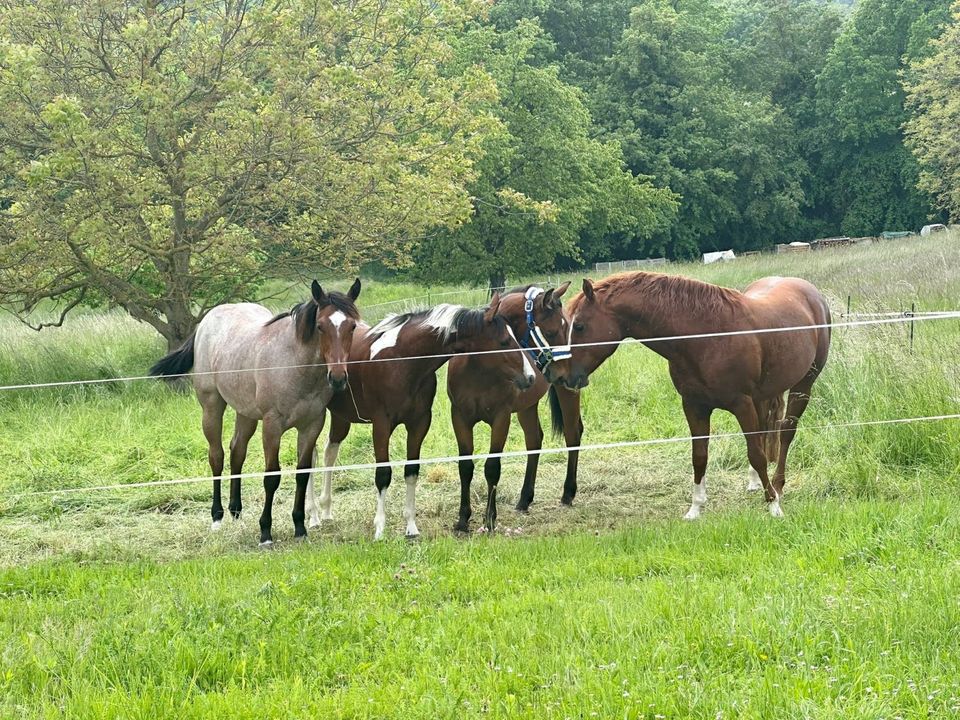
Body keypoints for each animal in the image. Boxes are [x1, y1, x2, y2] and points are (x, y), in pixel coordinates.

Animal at [148, 280, 362, 544]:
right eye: (321, 326)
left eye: (352, 326)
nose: (338, 378)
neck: (294, 363)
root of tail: (207, 321)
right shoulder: (272, 426)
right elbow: (272, 476)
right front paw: (266, 532)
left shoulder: (311, 425)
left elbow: (302, 473)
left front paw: (300, 527)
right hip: (211, 407)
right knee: (217, 456)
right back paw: (217, 517)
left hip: (246, 413)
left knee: (237, 451)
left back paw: (235, 510)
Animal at [306, 296, 532, 536]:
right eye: (504, 341)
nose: (530, 377)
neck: (402, 360)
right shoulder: (381, 425)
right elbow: (383, 474)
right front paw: (379, 530)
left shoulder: (419, 423)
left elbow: (411, 471)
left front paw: (411, 527)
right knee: (311, 456)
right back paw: (313, 517)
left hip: (341, 418)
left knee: (329, 453)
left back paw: (326, 511)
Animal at [444, 284, 584, 532]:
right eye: (550, 332)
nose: (566, 370)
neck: (478, 367)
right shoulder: (460, 418)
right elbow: (465, 467)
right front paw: (462, 519)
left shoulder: (501, 418)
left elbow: (492, 467)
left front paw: (490, 519)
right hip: (527, 407)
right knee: (534, 441)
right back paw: (524, 499)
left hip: (566, 393)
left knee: (572, 435)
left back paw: (568, 493)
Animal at [548, 272, 832, 516]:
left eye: (579, 326)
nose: (562, 376)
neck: (706, 337)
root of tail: (811, 293)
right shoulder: (694, 406)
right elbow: (700, 456)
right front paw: (695, 508)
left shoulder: (741, 404)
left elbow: (757, 454)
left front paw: (773, 506)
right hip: (763, 396)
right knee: (764, 431)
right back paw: (755, 484)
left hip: (803, 385)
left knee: (785, 433)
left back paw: (778, 486)